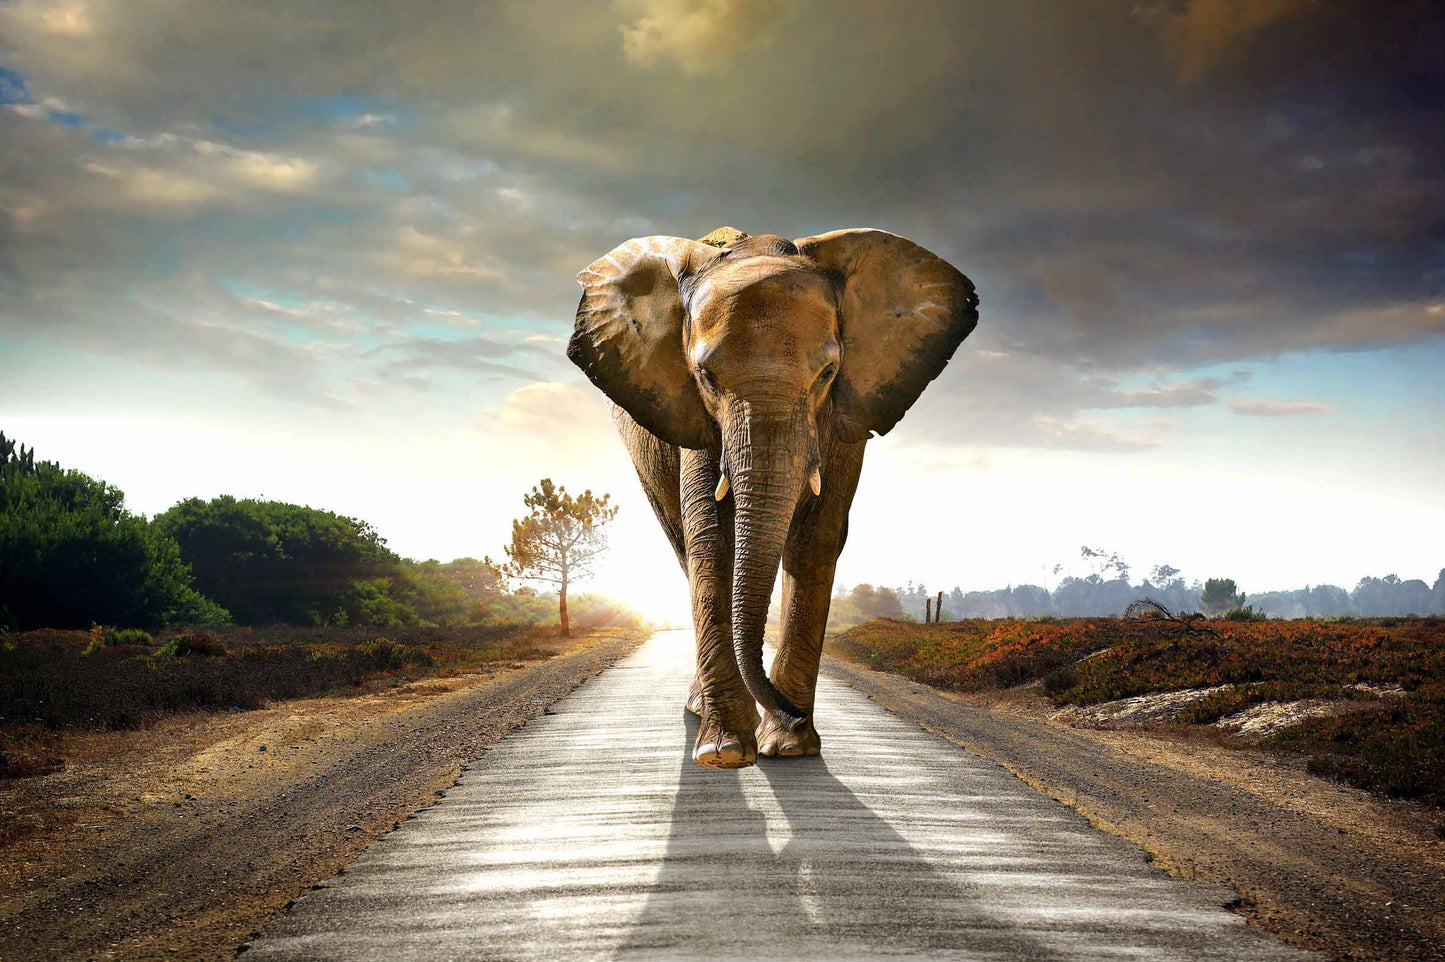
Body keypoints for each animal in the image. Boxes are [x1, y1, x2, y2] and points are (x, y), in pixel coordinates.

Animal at [568, 226, 978, 769]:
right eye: (706, 377)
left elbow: (817, 537)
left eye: (827, 373)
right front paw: (725, 752)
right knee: (682, 544)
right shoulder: (695, 416)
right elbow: (711, 538)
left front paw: (788, 747)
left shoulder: (844, 416)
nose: (792, 713)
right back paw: (703, 711)